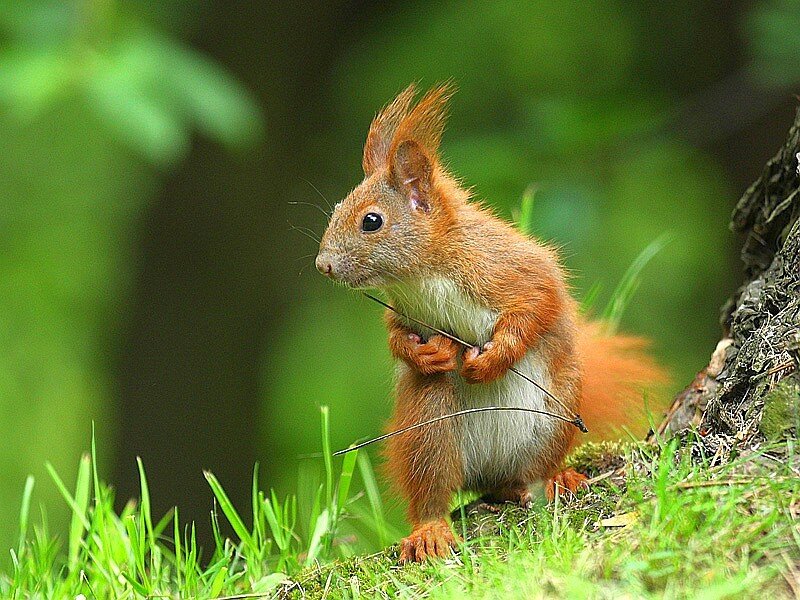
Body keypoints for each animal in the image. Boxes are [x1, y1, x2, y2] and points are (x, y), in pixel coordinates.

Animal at [315, 84, 666, 563]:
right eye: (336, 209)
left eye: (372, 221)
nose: (323, 265)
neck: (423, 275)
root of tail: (491, 473)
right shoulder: (401, 310)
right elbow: (395, 338)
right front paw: (423, 353)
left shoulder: (510, 268)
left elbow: (538, 305)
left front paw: (493, 360)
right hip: (430, 429)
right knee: (434, 486)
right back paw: (431, 527)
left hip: (553, 417)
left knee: (533, 470)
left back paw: (554, 479)